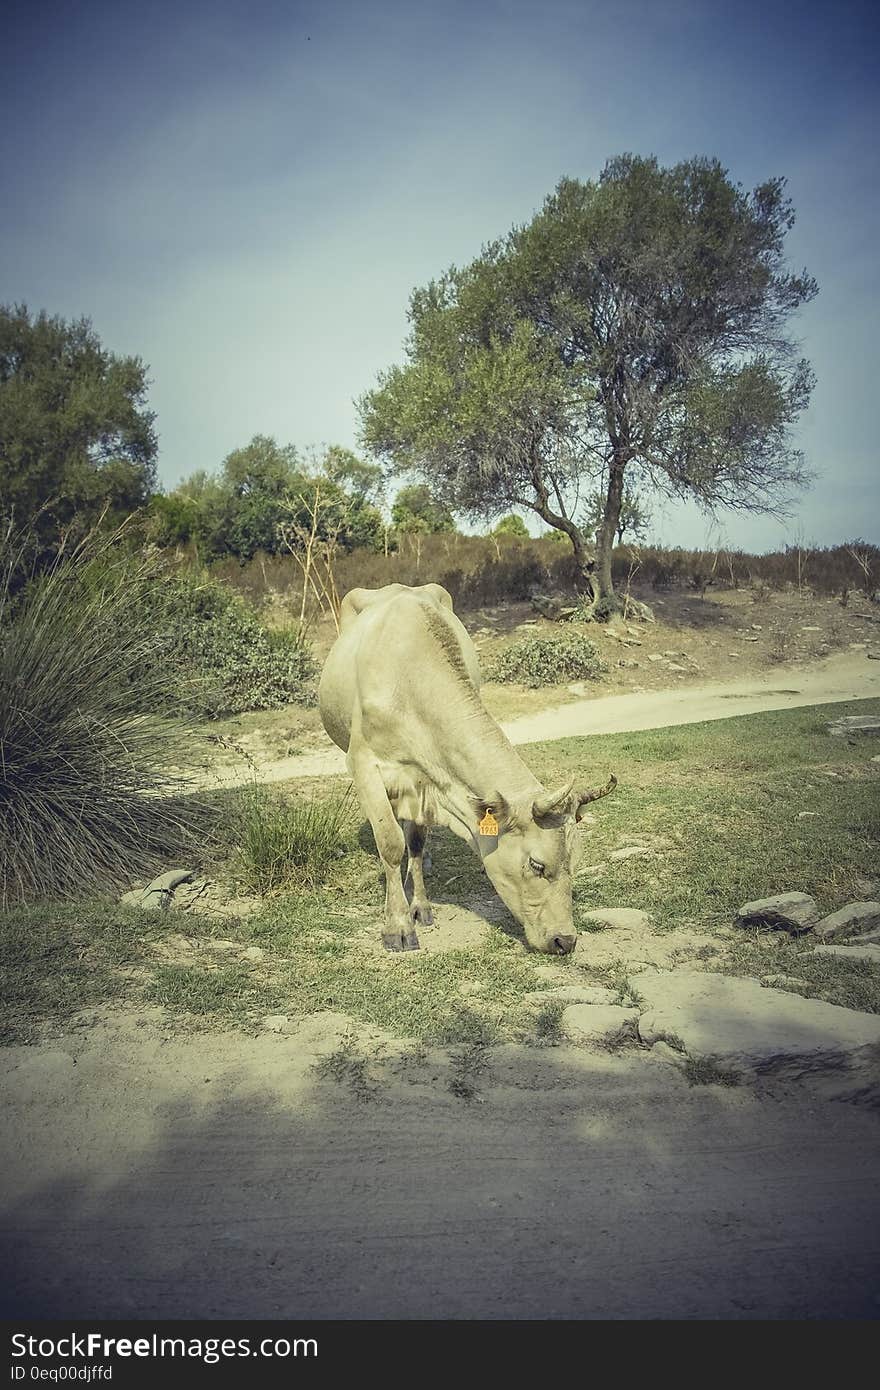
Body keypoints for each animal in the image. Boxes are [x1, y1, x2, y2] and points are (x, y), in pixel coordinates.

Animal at [319, 581, 614, 950]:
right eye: (536, 864)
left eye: (576, 861)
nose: (565, 940)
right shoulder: (364, 764)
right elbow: (390, 843)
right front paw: (397, 926)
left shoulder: (426, 780)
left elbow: (415, 841)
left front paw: (420, 905)